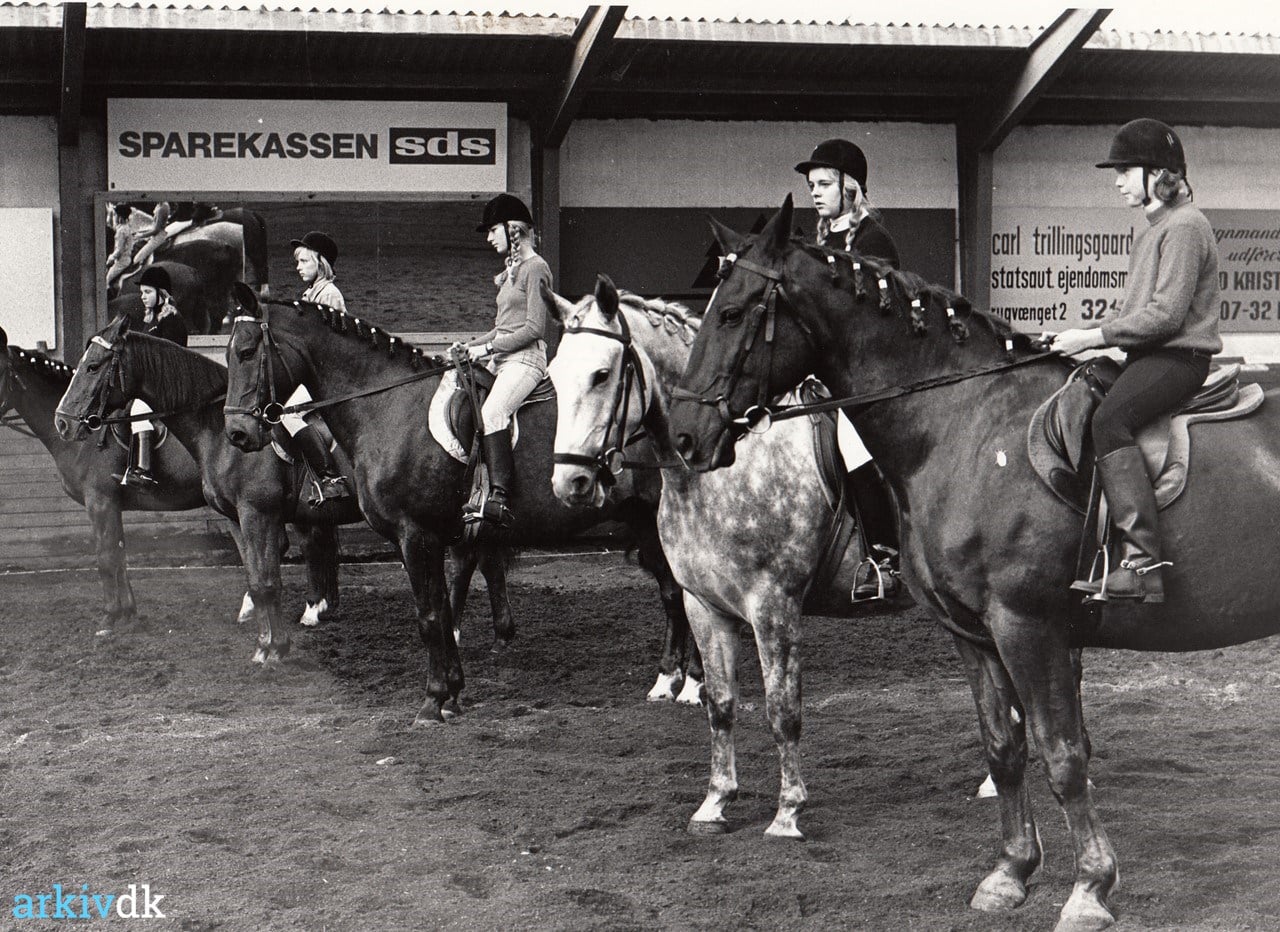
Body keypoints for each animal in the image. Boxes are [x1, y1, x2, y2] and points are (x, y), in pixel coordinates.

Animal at [50, 320, 360, 660]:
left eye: (92, 366)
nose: (62, 422)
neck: (220, 433)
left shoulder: (258, 514)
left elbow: (267, 582)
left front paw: (276, 649)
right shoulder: (238, 518)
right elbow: (255, 580)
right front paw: (264, 644)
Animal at [220, 288, 701, 722]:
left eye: (246, 351)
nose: (238, 434)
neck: (388, 406)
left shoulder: (415, 534)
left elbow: (430, 615)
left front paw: (432, 701)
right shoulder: (426, 537)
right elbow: (442, 608)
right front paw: (451, 694)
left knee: (683, 593)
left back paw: (692, 686)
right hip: (643, 521)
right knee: (671, 592)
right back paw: (667, 680)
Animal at [547, 276, 901, 839]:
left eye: (602, 375)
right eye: (555, 377)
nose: (570, 482)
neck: (720, 471)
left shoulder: (774, 606)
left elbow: (782, 710)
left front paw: (787, 812)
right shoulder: (703, 604)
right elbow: (720, 704)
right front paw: (715, 803)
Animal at [665, 197, 1280, 932]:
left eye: (732, 313)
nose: (684, 437)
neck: (965, 425)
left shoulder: (1026, 626)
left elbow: (1062, 754)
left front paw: (1089, 888)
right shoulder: (973, 633)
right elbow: (1005, 747)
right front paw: (1010, 874)